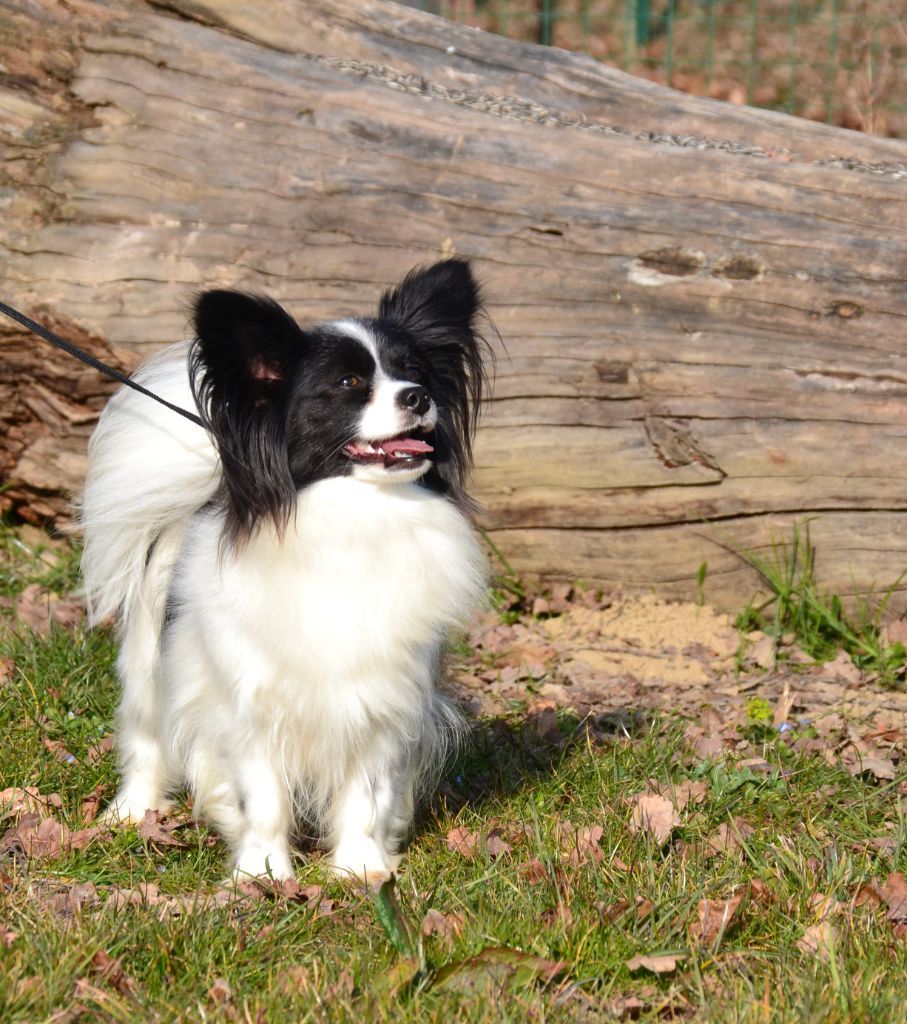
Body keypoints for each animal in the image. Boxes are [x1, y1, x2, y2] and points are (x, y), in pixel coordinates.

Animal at [81, 256, 493, 880]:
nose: (419, 396)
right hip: (149, 661)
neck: (356, 515)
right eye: (349, 385)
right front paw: (264, 874)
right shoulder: (250, 703)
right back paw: (131, 813)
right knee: (146, 737)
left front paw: (362, 870)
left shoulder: (379, 700)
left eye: (415, 371)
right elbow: (263, 796)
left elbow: (366, 793)